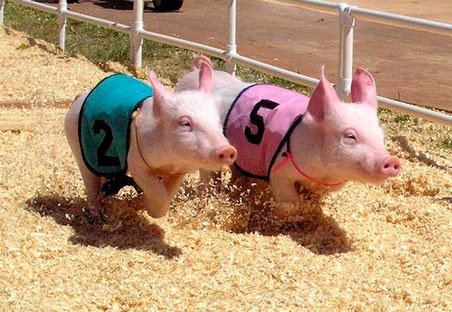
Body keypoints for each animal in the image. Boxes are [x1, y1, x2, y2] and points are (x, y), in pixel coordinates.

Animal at [175, 56, 400, 217]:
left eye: (380, 136)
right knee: (209, 177)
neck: (324, 174)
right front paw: (275, 215)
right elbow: (290, 202)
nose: (392, 160)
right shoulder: (279, 171)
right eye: (350, 136)